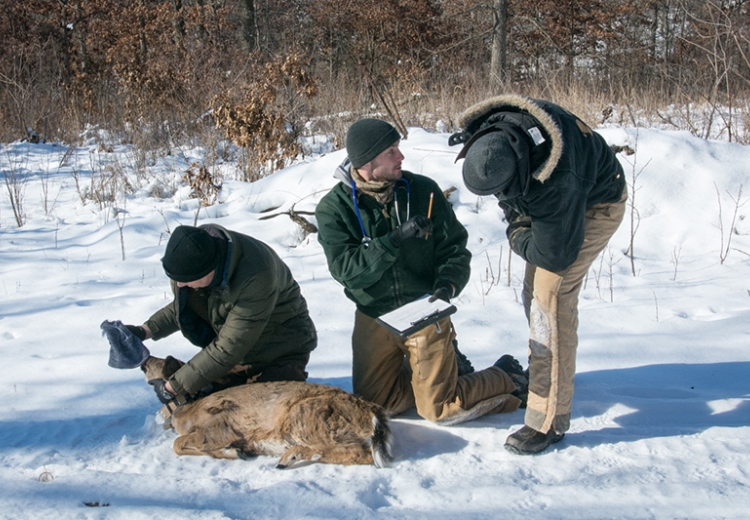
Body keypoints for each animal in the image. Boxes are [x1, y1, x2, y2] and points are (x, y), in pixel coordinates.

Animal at [140, 356, 394, 470]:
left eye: (159, 363)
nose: (144, 361)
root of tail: (374, 414)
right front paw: (234, 452)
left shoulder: (218, 426)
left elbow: (178, 444)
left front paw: (230, 451)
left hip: (304, 416)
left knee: (357, 453)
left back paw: (290, 457)